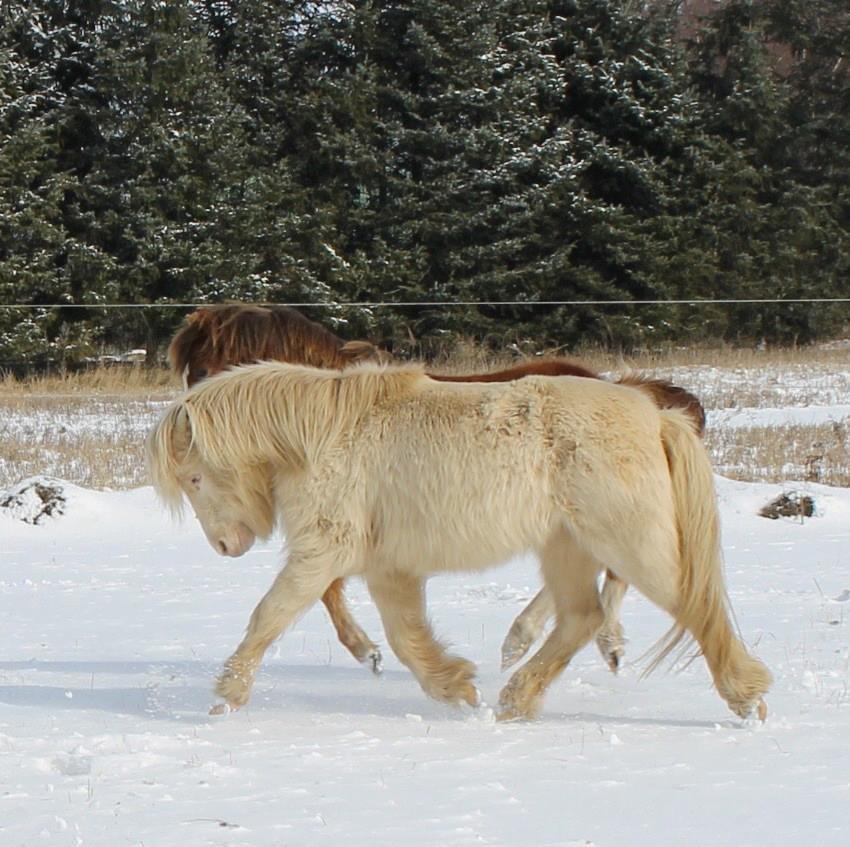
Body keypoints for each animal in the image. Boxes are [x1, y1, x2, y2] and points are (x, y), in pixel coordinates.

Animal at [149, 362, 772, 724]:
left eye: (195, 477)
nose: (225, 546)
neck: (322, 437)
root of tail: (655, 416)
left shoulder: (325, 551)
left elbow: (270, 615)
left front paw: (227, 696)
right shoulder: (387, 567)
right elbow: (405, 638)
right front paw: (456, 689)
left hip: (629, 543)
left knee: (693, 605)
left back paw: (747, 697)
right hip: (566, 549)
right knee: (580, 618)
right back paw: (516, 698)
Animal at [166, 304, 704, 676]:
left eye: (207, 369)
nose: (182, 434)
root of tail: (633, 396)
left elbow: (328, 586)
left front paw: (367, 651)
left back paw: (538, 641)